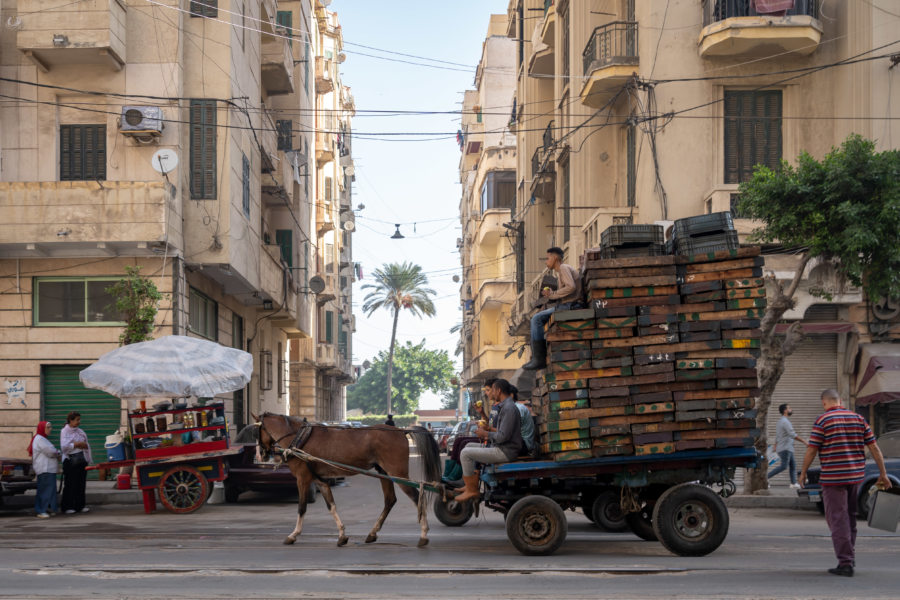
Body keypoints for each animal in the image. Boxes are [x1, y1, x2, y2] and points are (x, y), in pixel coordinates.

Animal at [253, 414, 442, 548]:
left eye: (257, 432)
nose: (261, 454)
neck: (299, 438)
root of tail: (401, 431)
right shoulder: (320, 481)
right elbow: (331, 506)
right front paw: (342, 535)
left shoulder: (303, 479)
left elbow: (302, 508)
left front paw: (293, 535)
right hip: (384, 473)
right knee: (390, 500)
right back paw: (372, 533)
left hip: (397, 474)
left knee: (417, 497)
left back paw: (423, 534)